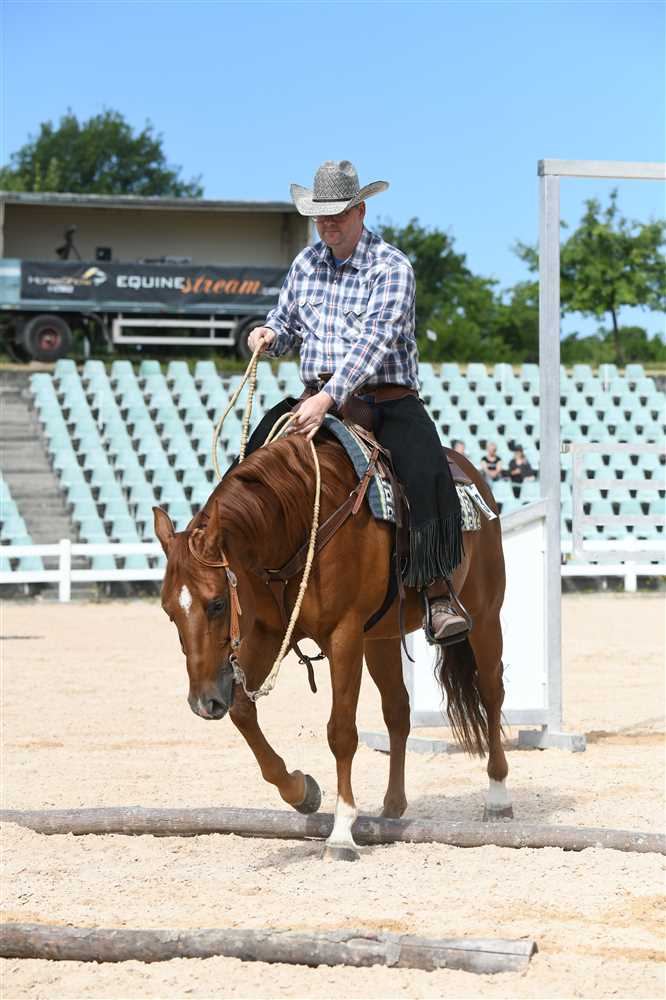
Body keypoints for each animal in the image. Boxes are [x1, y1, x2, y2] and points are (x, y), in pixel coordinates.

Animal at [154, 432, 510, 861]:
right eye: (168, 611)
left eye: (218, 603)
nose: (203, 702)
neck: (297, 524)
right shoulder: (270, 634)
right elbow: (242, 711)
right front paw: (301, 791)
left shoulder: (344, 635)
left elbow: (341, 731)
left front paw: (341, 832)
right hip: (381, 640)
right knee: (398, 710)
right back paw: (392, 808)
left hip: (484, 615)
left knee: (491, 692)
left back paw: (498, 797)